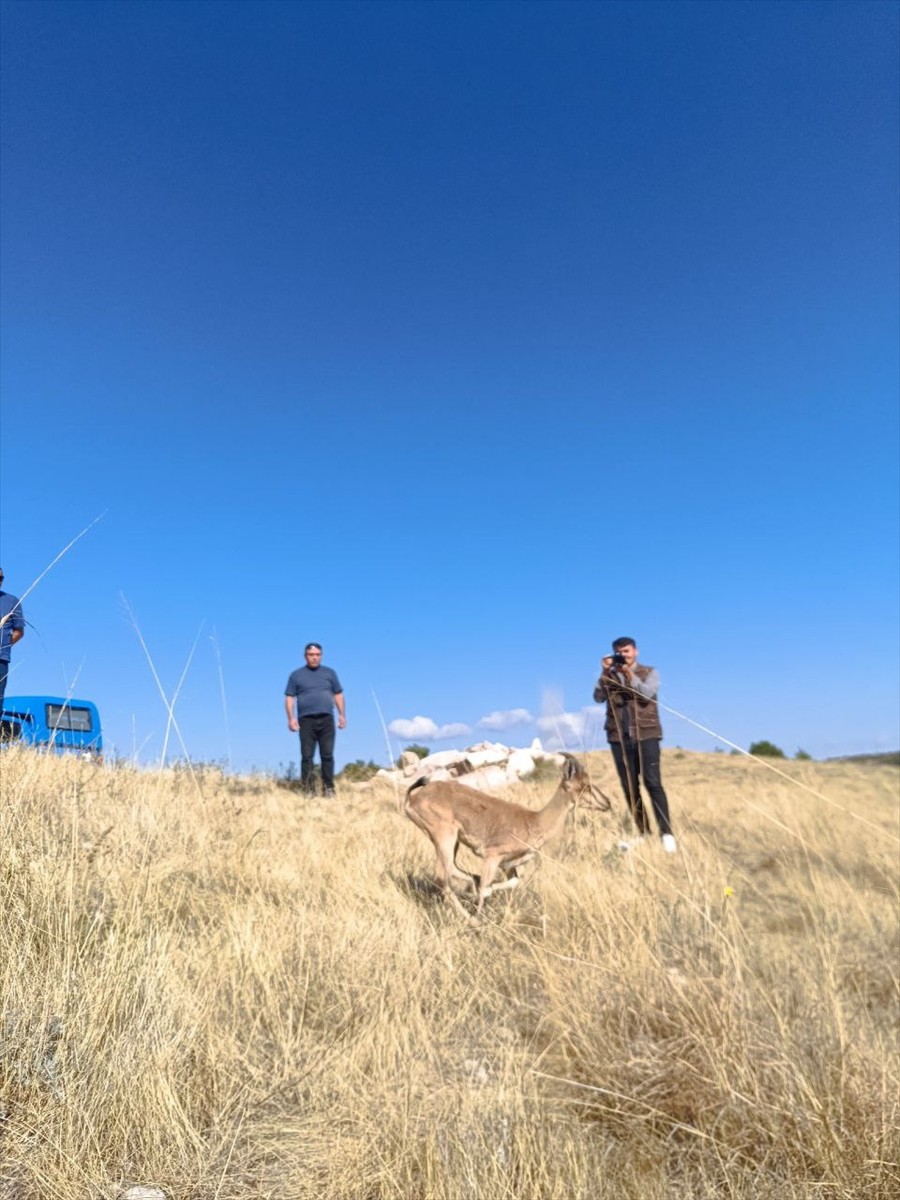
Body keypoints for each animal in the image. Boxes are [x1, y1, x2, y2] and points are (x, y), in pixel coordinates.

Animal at [408, 758, 614, 916]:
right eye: (585, 786)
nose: (607, 803)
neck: (534, 820)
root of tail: (412, 799)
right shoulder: (492, 857)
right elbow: (486, 887)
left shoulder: (511, 866)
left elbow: (514, 882)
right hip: (444, 837)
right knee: (443, 876)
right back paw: (471, 916)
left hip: (451, 841)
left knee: (452, 870)